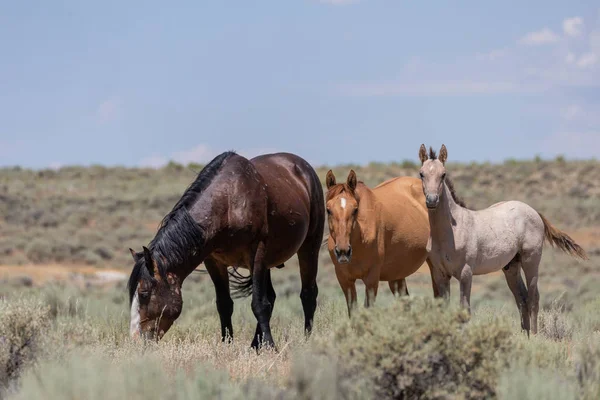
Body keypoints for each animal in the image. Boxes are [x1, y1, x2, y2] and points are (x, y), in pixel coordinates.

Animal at [126, 152, 324, 348]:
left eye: (143, 293)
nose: (136, 339)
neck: (229, 201)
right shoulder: (214, 262)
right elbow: (224, 304)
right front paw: (227, 343)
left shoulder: (256, 254)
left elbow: (259, 304)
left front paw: (269, 345)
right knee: (272, 295)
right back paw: (255, 344)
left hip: (309, 247)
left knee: (308, 294)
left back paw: (306, 340)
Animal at [324, 169, 432, 316]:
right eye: (328, 210)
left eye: (355, 209)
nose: (343, 251)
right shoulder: (344, 279)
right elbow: (353, 311)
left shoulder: (371, 279)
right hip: (397, 275)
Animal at [418, 144, 584, 334]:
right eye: (421, 173)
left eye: (443, 174)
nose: (432, 200)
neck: (452, 230)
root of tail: (534, 212)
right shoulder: (440, 274)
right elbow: (444, 310)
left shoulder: (466, 273)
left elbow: (465, 310)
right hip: (511, 266)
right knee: (522, 299)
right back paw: (524, 337)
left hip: (531, 261)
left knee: (533, 298)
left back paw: (535, 336)